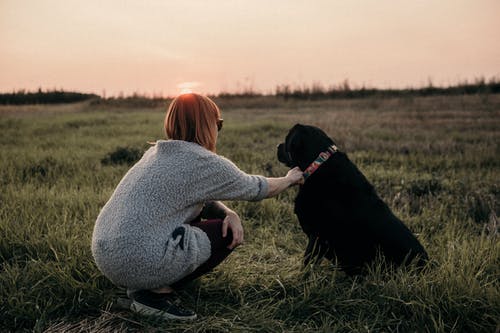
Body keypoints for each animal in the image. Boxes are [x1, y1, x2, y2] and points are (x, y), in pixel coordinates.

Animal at [278, 123, 426, 274]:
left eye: (287, 140)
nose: (278, 146)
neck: (318, 164)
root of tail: (427, 264)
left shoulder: (318, 237)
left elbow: (307, 265)